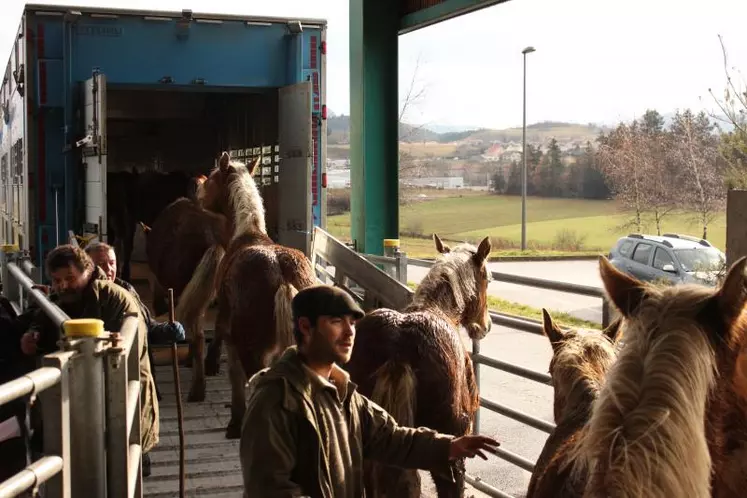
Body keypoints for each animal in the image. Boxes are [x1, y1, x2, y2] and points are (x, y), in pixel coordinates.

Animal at [188, 152, 318, 436]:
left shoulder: (230, 336)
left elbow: (235, 378)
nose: (197, 191)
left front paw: (235, 423)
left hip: (254, 353)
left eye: (212, 178)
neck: (248, 234)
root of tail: (283, 274)